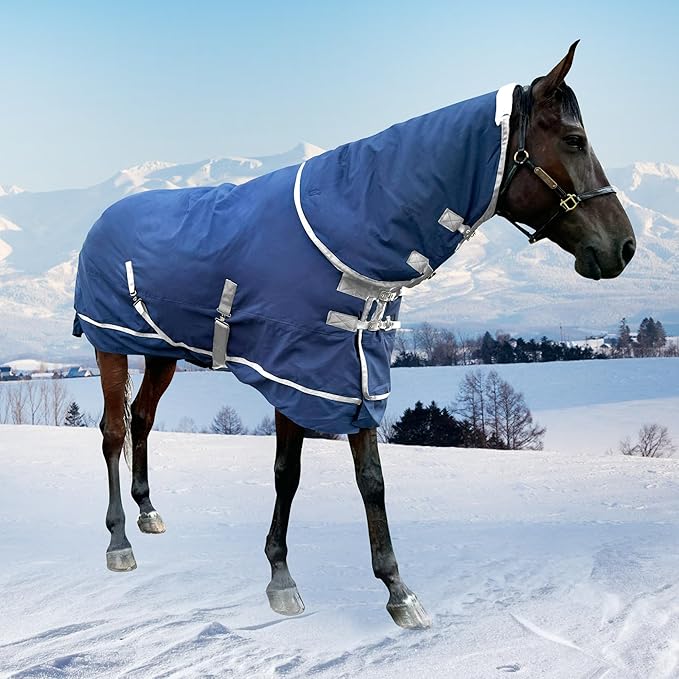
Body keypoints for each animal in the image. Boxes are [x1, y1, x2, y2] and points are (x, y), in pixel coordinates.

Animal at [73, 42, 635, 630]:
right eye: (574, 140)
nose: (624, 247)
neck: (348, 229)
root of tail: (102, 219)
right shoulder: (295, 375)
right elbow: (288, 473)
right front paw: (281, 578)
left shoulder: (357, 371)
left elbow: (372, 479)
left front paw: (397, 590)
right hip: (109, 343)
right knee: (113, 430)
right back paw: (119, 542)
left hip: (162, 351)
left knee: (142, 419)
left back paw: (148, 512)